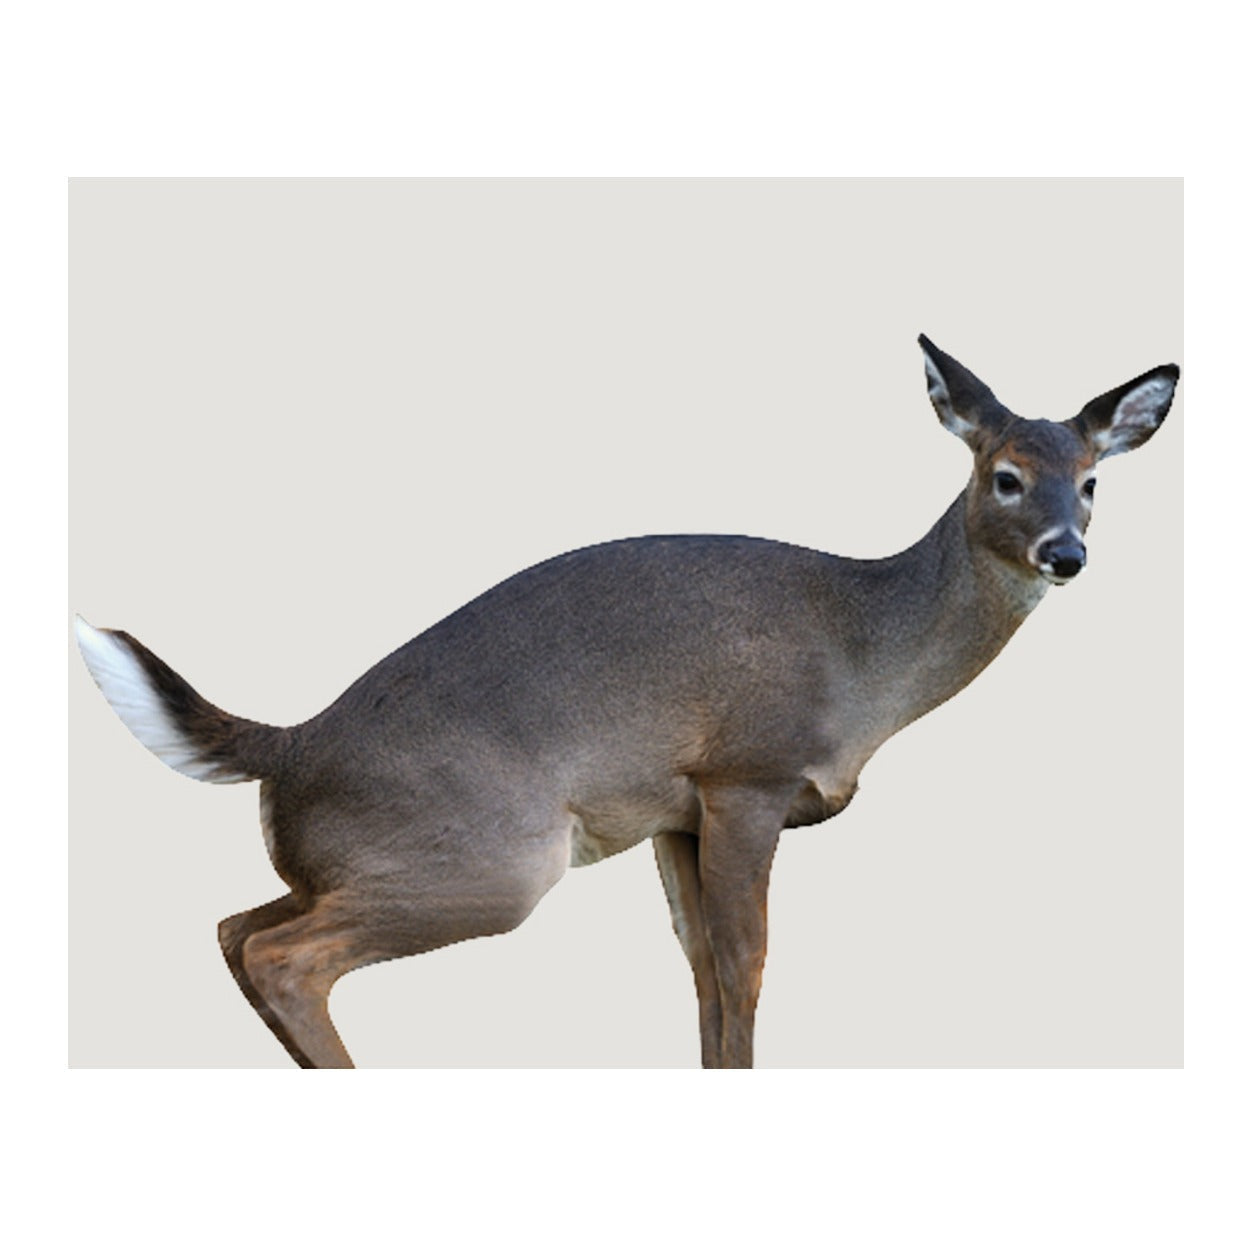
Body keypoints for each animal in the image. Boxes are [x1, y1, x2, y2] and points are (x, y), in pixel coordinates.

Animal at [75, 335, 1178, 1068]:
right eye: (1005, 475)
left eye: (1091, 482)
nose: (1065, 554)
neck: (865, 654)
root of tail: (291, 745)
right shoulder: (745, 772)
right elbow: (745, 959)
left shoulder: (674, 810)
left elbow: (700, 967)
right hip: (497, 858)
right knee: (281, 954)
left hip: (362, 864)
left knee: (234, 925)